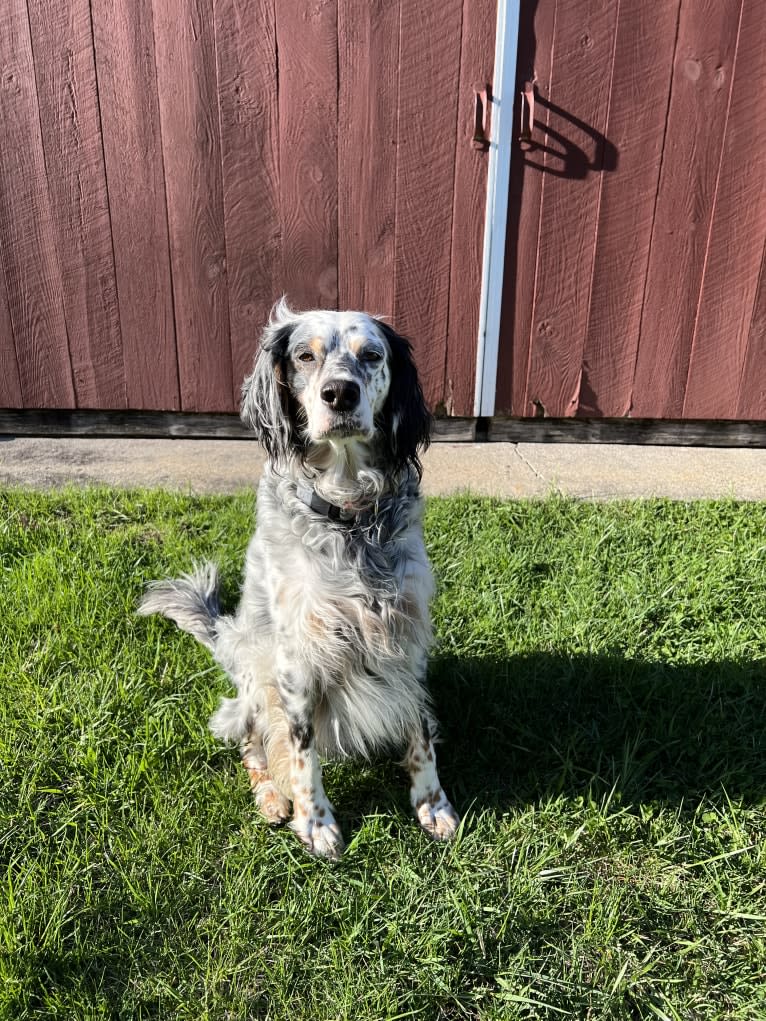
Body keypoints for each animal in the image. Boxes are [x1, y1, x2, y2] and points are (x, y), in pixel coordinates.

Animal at [137, 298, 459, 857]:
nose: (340, 393)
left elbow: (419, 728)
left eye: (372, 355)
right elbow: (302, 749)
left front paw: (431, 804)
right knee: (254, 746)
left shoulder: (408, 635)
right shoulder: (296, 657)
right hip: (253, 678)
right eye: (305, 356)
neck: (350, 516)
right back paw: (271, 797)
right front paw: (315, 822)